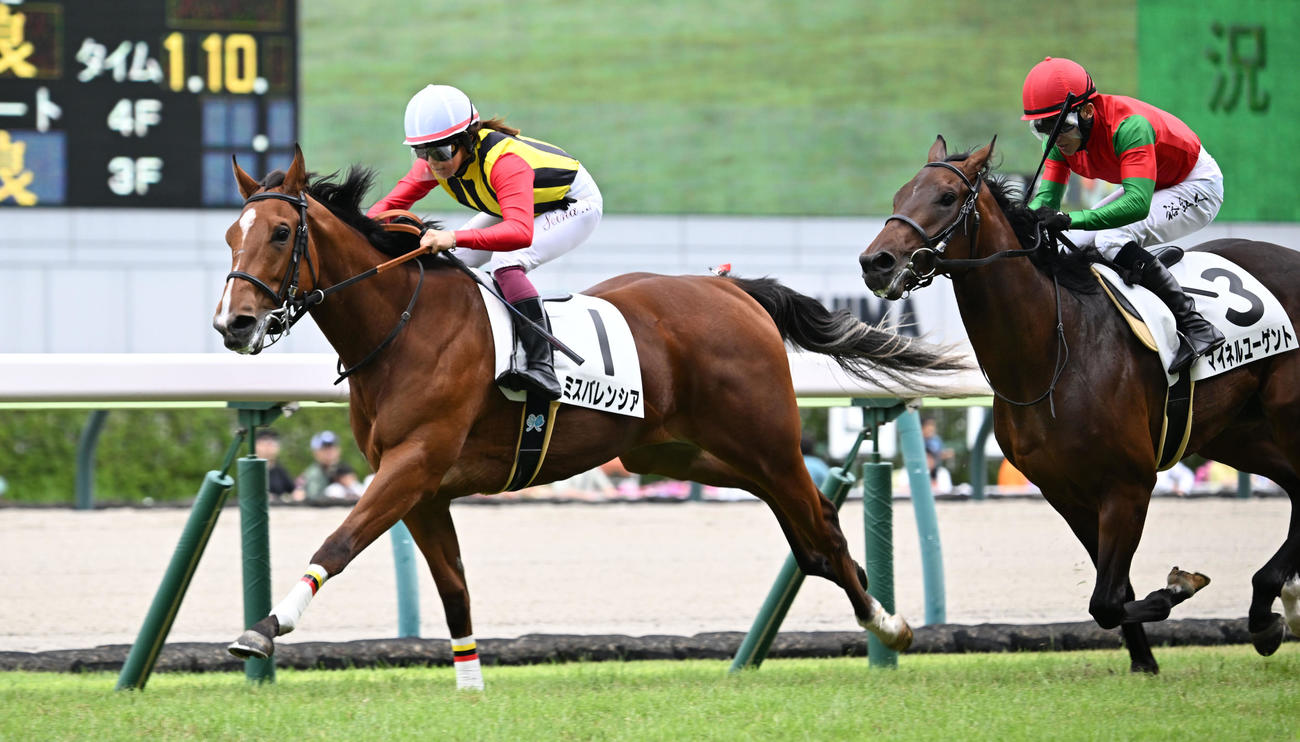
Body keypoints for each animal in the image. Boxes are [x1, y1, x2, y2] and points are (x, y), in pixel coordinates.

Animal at [212, 146, 964, 688]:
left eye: (281, 232)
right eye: (229, 236)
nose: (232, 323)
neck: (402, 325)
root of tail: (733, 291)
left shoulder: (414, 464)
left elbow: (339, 543)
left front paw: (265, 628)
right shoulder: (421, 487)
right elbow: (453, 585)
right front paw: (470, 687)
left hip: (767, 438)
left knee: (823, 525)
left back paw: (889, 625)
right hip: (672, 451)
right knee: (805, 527)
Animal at [859, 135, 1300, 673]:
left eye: (946, 197)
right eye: (900, 194)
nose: (875, 262)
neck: (1052, 352)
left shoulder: (1129, 485)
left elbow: (1106, 600)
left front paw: (1178, 587)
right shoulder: (1065, 491)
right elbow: (1113, 595)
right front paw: (1145, 661)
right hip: (1236, 433)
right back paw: (1266, 612)